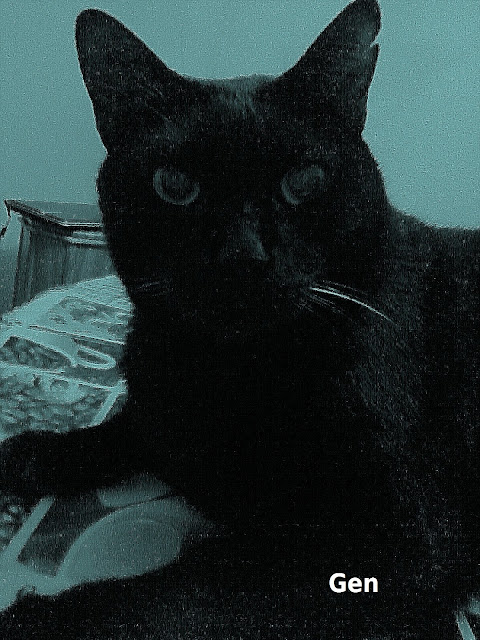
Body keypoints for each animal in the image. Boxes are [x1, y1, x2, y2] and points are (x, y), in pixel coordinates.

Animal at [0, 0, 478, 638]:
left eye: (304, 181)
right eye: (175, 184)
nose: (242, 255)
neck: (223, 369)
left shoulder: (389, 545)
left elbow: (187, 592)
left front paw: (42, 617)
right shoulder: (160, 404)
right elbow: (120, 429)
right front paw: (31, 452)